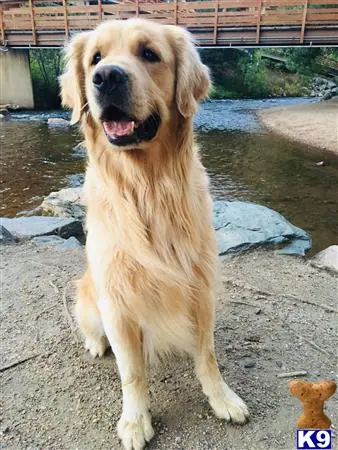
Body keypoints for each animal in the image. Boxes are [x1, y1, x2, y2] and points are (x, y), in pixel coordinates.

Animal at [60, 18, 248, 450]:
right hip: (89, 296)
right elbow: (132, 373)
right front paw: (134, 421)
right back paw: (96, 343)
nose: (106, 76)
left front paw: (222, 398)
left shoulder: (200, 286)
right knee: (92, 327)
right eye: (95, 57)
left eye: (149, 53)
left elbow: (207, 355)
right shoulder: (117, 300)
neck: (147, 186)